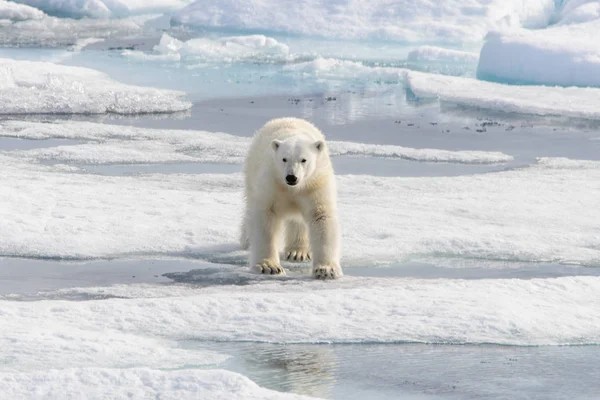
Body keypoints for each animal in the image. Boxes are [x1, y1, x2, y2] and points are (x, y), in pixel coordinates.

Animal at [240, 119, 342, 280]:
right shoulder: (272, 182)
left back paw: (297, 252)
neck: (293, 188)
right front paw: (268, 267)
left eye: (304, 160)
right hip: (251, 172)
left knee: (298, 221)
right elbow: (265, 216)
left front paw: (326, 270)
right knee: (250, 205)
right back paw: (247, 240)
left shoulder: (315, 184)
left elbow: (321, 216)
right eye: (284, 159)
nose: (291, 177)